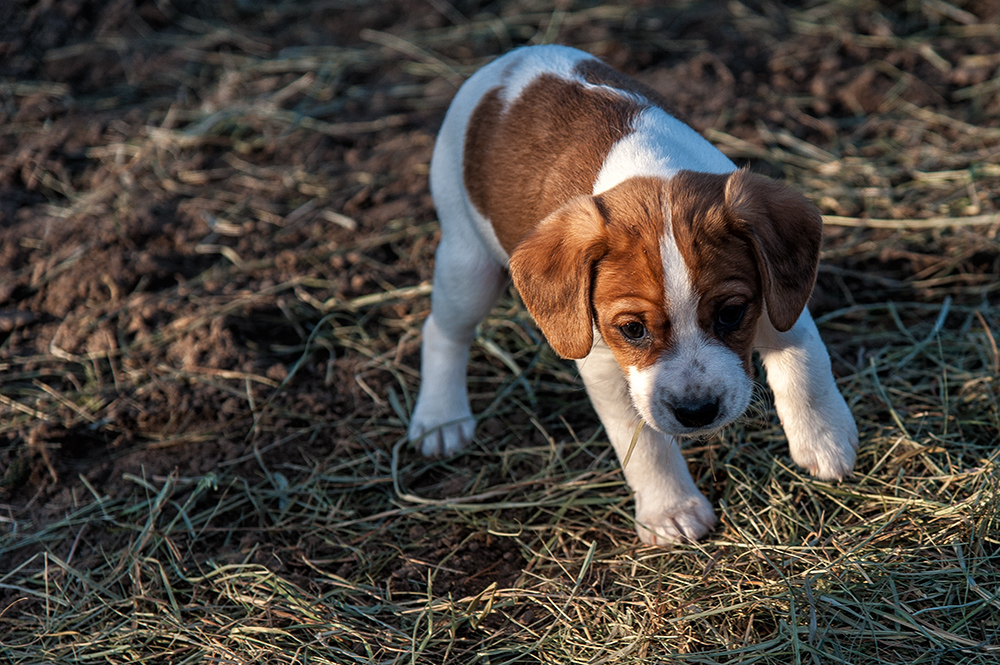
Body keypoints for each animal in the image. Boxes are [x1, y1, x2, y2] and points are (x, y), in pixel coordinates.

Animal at [406, 48, 860, 544]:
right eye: (633, 329)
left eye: (731, 313)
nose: (697, 412)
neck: (649, 173)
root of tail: (516, 56)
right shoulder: (605, 365)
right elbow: (643, 443)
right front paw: (670, 510)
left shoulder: (776, 300)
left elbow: (804, 364)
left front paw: (825, 440)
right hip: (467, 267)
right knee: (442, 332)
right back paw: (442, 418)